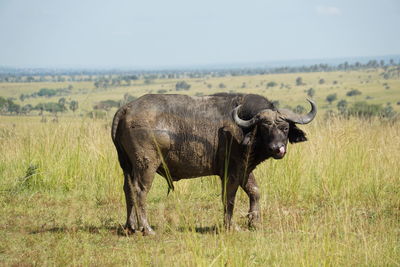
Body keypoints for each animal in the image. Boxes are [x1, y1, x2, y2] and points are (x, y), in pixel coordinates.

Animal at [110, 93, 316, 236]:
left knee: (128, 189)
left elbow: (255, 191)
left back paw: (130, 226)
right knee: (140, 191)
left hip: (127, 166)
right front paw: (231, 226)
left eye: (285, 128)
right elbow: (229, 198)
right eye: (264, 128)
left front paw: (254, 221)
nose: (277, 148)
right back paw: (146, 228)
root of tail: (126, 108)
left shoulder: (244, 168)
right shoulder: (231, 172)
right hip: (146, 165)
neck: (242, 129)